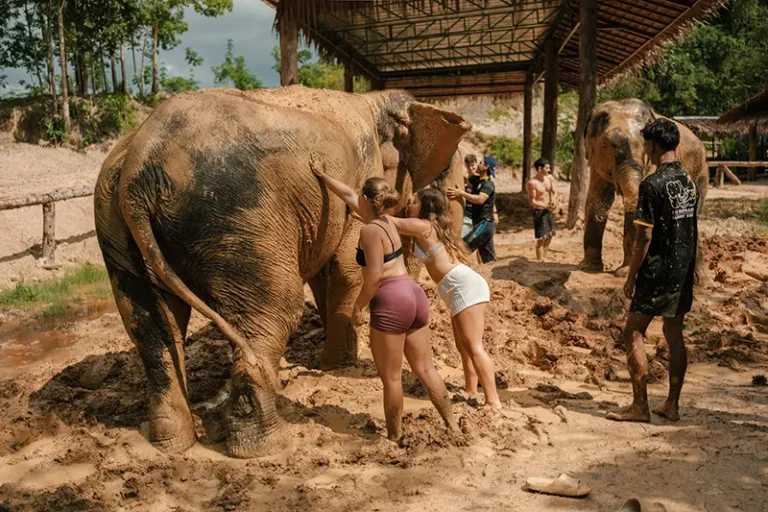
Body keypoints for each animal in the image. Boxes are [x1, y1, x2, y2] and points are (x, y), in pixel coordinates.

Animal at [93, 85, 470, 458]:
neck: (374, 100)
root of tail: (139, 164)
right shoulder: (360, 177)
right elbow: (349, 268)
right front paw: (340, 365)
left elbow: (327, 272)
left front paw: (331, 363)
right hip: (243, 222)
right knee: (275, 310)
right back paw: (268, 445)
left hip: (116, 225)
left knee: (152, 326)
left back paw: (171, 445)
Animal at [579, 98, 708, 276]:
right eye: (605, 145)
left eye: (646, 146)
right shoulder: (597, 162)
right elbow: (597, 197)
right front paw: (587, 268)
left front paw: (623, 273)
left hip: (701, 173)